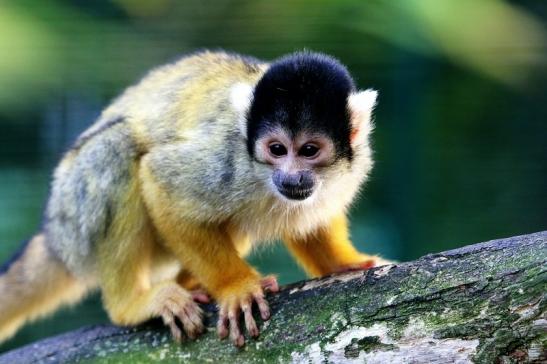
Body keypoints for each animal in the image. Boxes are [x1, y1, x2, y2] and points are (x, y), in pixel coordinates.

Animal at [0, 49, 388, 346]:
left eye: (309, 150)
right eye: (276, 149)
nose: (291, 177)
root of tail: (54, 234)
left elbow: (312, 219)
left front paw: (345, 263)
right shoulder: (228, 161)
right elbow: (160, 180)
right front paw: (235, 287)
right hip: (75, 215)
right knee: (117, 146)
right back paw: (131, 303)